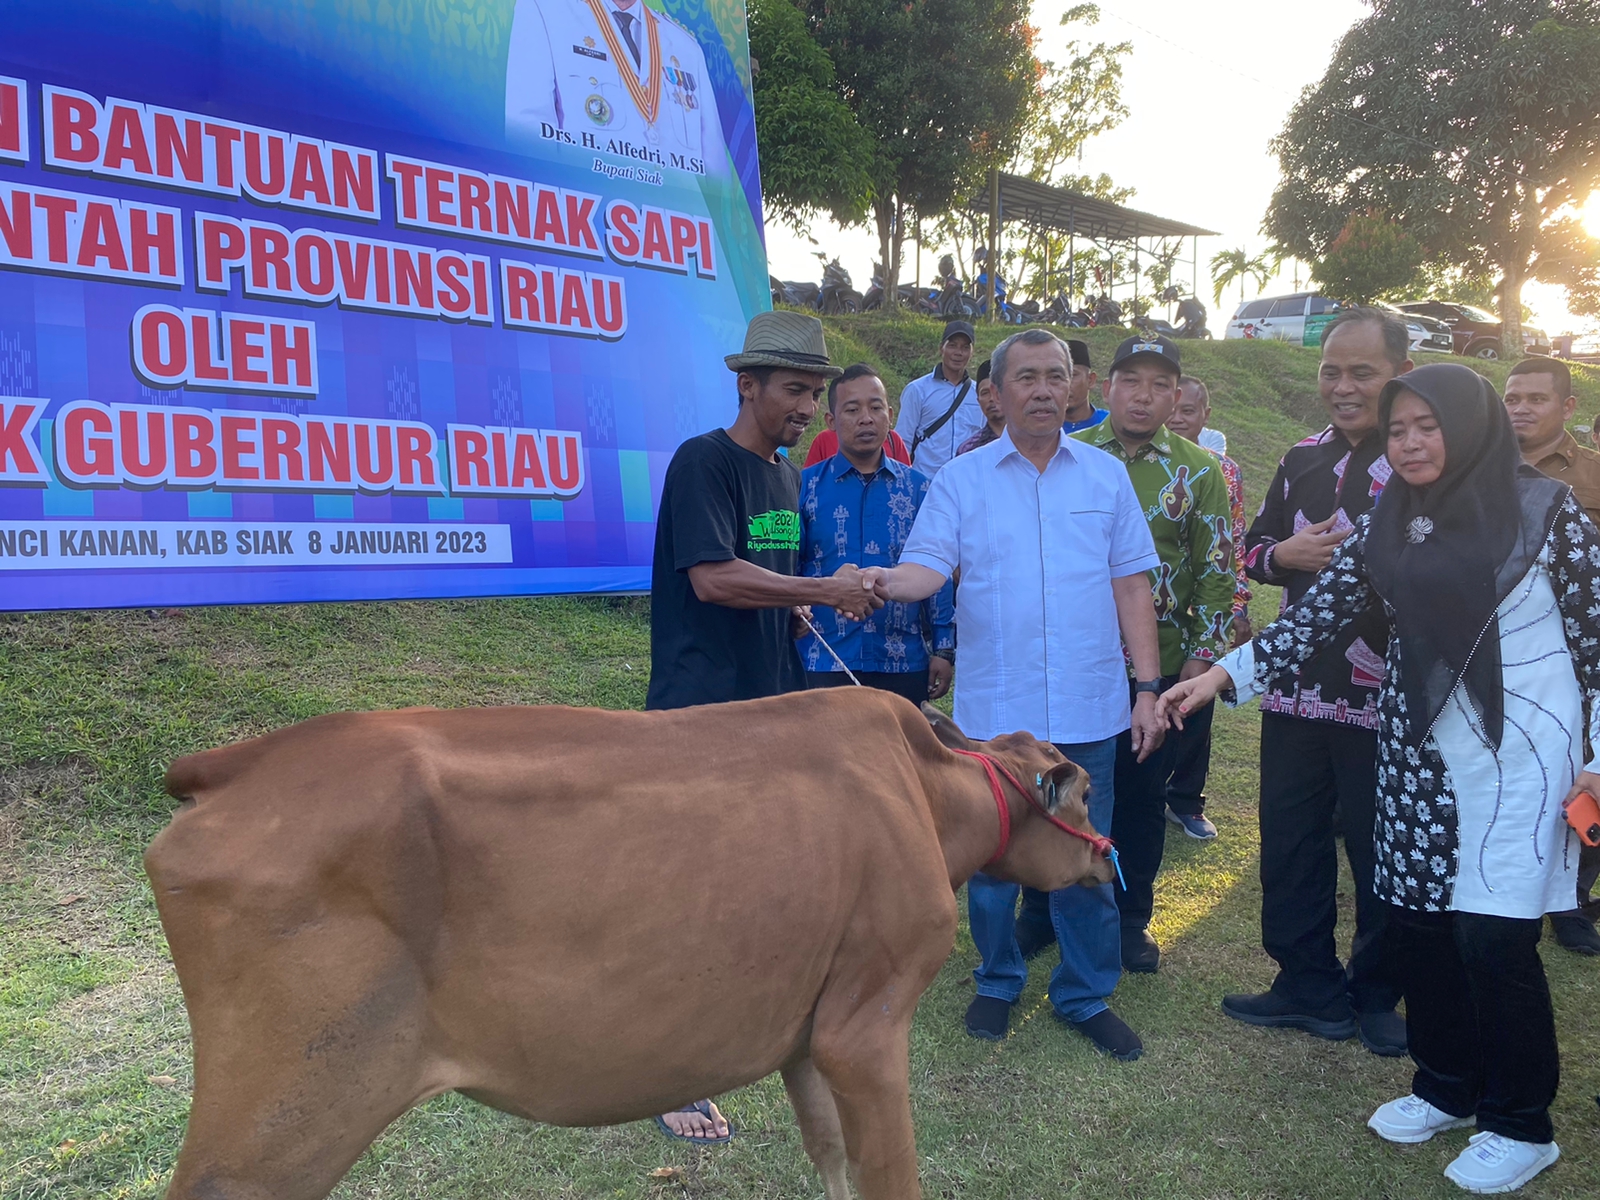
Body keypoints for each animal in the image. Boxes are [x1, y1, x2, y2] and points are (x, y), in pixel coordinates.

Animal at [152, 691, 1113, 1196]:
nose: (1111, 864)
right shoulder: (867, 1024)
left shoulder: (811, 1037)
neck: (922, 788)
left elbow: (834, 1163)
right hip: (281, 1119)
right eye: (1087, 792)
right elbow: (888, 1174)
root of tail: (239, 762)